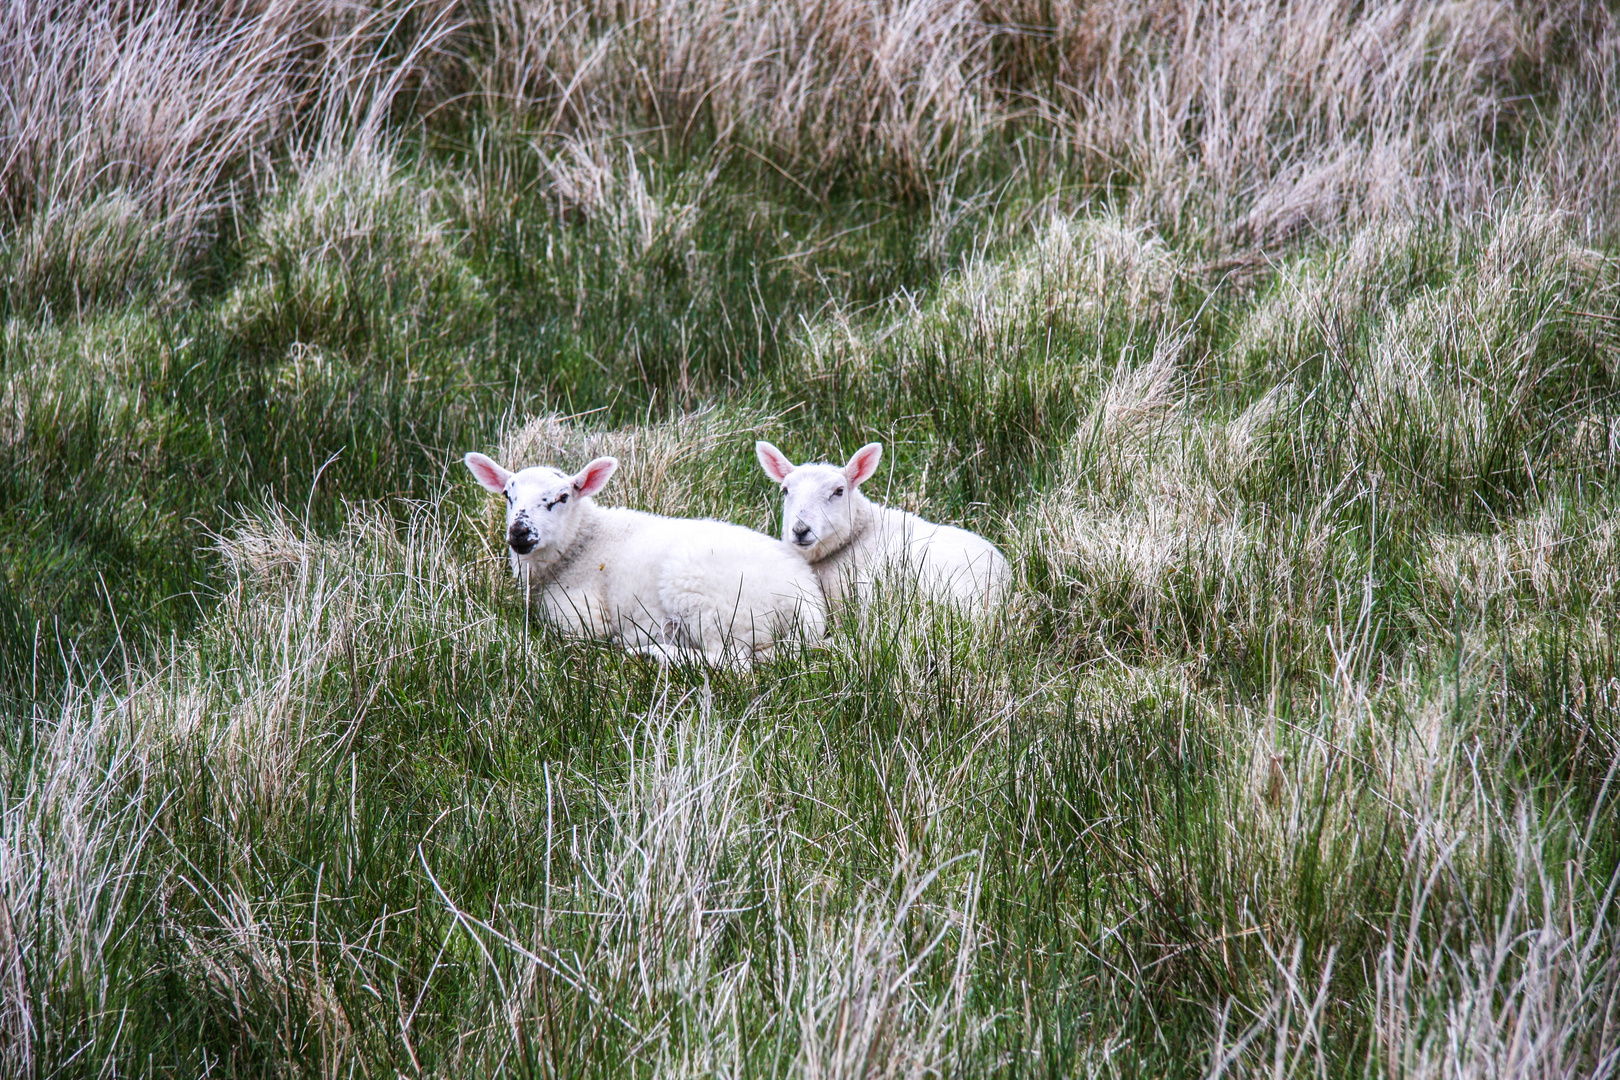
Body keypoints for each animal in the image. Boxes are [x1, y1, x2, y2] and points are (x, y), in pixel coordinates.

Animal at [466, 450, 822, 667]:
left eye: (562, 497)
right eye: (508, 496)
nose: (519, 532)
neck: (582, 542)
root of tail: (807, 601)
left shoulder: (580, 616)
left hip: (711, 604)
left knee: (728, 662)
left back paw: (649, 651)